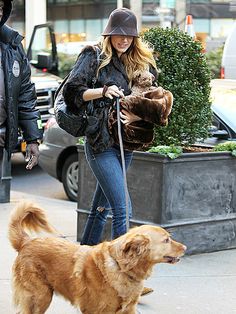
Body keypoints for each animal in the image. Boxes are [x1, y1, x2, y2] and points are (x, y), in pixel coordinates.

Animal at [8, 202, 186, 312]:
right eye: (166, 240)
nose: (185, 248)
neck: (121, 268)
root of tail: (26, 241)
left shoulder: (128, 309)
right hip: (40, 297)